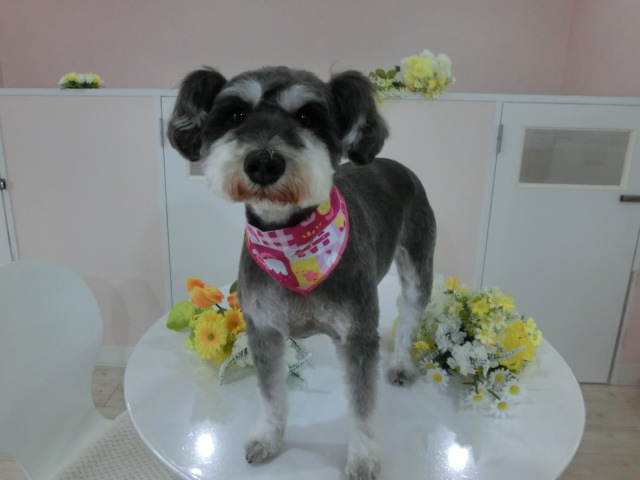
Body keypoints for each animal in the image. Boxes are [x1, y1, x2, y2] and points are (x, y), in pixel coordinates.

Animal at [167, 66, 436, 480]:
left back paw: (401, 363)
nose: (263, 162)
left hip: (419, 262)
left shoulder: (357, 336)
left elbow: (362, 406)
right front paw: (268, 436)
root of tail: (393, 163)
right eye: (236, 114)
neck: (291, 243)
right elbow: (271, 393)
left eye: (308, 116)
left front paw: (362, 458)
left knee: (409, 314)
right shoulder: (263, 329)